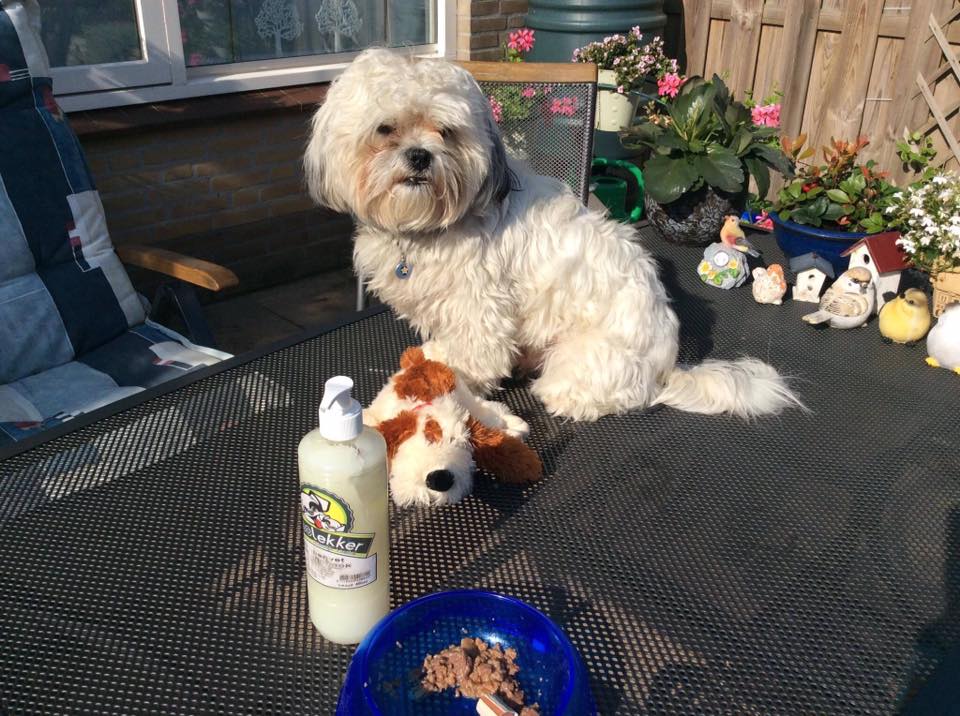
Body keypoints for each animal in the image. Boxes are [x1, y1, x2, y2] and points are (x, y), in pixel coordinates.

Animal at [304, 49, 800, 420]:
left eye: (445, 131)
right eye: (385, 129)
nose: (420, 156)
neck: (427, 224)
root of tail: (666, 368)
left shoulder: (480, 308)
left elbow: (473, 356)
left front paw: (446, 386)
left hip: (582, 359)